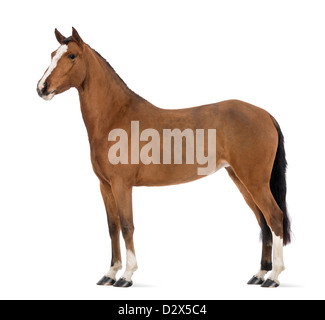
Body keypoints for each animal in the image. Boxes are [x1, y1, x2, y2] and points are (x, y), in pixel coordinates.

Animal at [36, 27, 290, 288]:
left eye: (72, 56)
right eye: (53, 54)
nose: (42, 88)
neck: (116, 116)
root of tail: (265, 115)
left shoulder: (122, 185)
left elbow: (127, 226)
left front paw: (126, 275)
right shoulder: (105, 186)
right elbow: (112, 226)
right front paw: (110, 273)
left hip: (255, 182)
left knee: (274, 217)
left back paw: (274, 276)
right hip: (241, 180)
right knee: (263, 221)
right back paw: (259, 274)